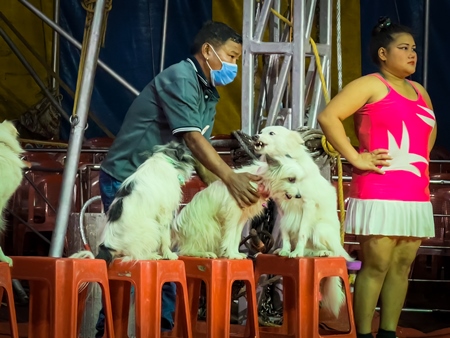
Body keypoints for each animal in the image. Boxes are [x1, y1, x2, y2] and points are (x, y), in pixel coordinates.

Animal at [172, 154, 306, 260]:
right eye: (291, 179)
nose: (299, 196)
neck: (259, 182)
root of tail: (176, 227)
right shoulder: (231, 216)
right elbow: (230, 236)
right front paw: (231, 254)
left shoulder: (241, 218)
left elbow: (236, 238)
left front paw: (235, 253)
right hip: (209, 227)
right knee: (185, 250)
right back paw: (203, 253)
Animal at [253, 125, 352, 318]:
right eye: (261, 131)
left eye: (271, 133)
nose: (255, 136)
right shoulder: (282, 210)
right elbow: (285, 235)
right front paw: (285, 250)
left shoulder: (307, 205)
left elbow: (301, 234)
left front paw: (296, 252)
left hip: (320, 229)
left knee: (333, 251)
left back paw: (322, 253)